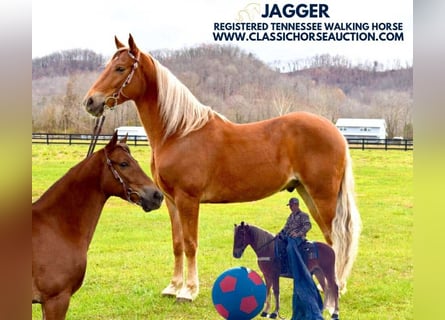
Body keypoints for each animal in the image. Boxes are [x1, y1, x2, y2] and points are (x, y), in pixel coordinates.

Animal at [82, 35, 360, 302]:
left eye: (120, 68)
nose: (90, 101)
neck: (179, 132)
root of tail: (336, 132)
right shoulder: (170, 201)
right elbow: (177, 243)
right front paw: (172, 287)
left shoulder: (188, 200)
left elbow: (190, 243)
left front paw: (188, 291)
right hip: (307, 194)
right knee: (329, 238)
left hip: (323, 196)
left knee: (335, 239)